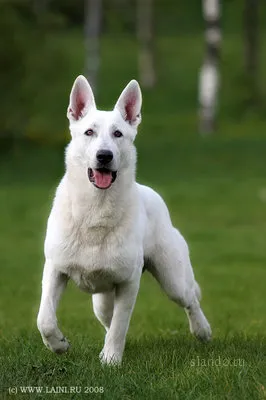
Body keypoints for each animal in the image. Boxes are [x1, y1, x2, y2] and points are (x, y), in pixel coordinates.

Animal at [37, 76, 212, 366]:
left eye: (118, 134)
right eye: (89, 132)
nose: (104, 156)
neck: (95, 210)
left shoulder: (128, 284)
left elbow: (121, 323)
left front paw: (110, 361)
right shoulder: (55, 270)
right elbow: (45, 319)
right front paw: (59, 345)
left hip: (173, 279)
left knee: (190, 300)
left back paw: (202, 330)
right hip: (101, 301)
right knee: (108, 320)